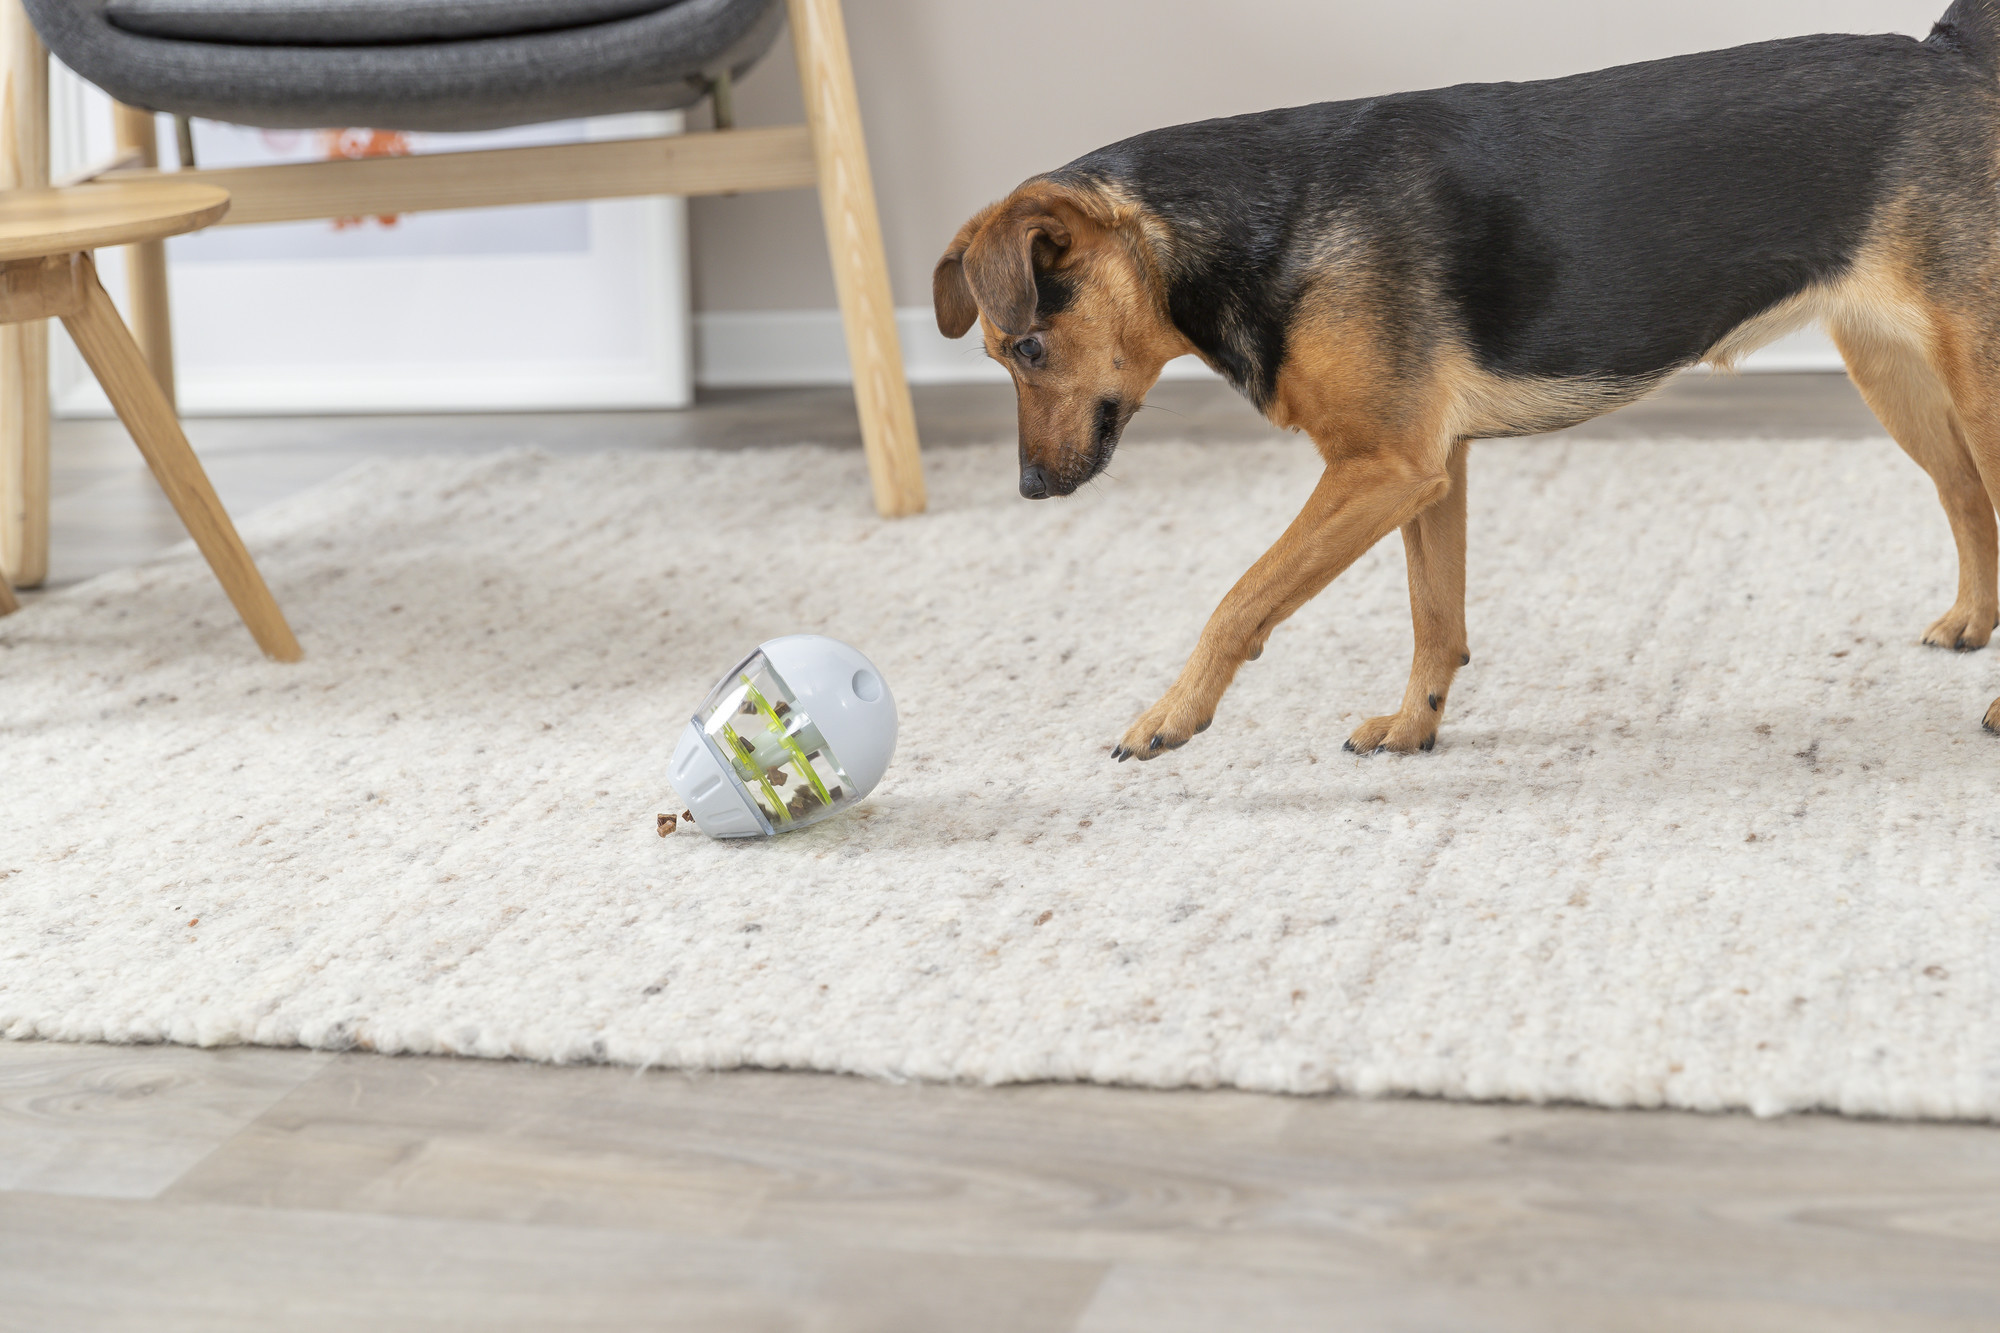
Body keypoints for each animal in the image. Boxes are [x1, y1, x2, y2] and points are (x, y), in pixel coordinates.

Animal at [936, 2, 2000, 756]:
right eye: (997, 357)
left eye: (1027, 349)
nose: (1029, 488)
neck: (1261, 222)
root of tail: (1947, 53)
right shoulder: (1428, 472)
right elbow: (1433, 616)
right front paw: (1416, 726)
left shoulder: (1379, 469)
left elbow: (1240, 599)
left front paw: (1170, 714)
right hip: (1898, 375)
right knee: (1968, 499)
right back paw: (1973, 625)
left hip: (1976, 380)